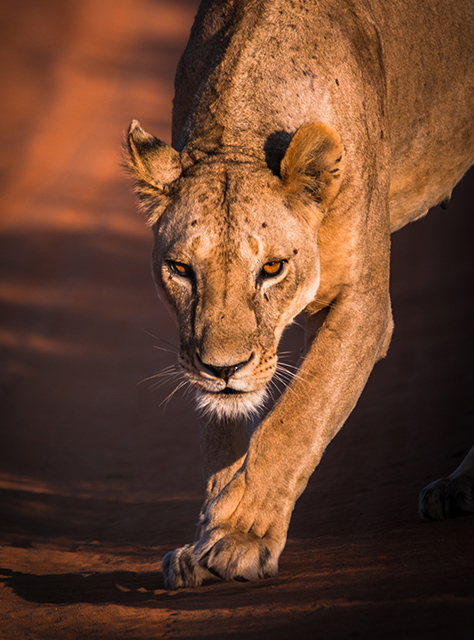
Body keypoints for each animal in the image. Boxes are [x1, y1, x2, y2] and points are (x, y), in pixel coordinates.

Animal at [125, 0, 474, 588]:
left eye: (272, 268)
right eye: (180, 269)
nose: (223, 369)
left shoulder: (363, 305)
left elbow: (297, 417)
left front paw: (242, 540)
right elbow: (223, 438)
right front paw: (206, 537)